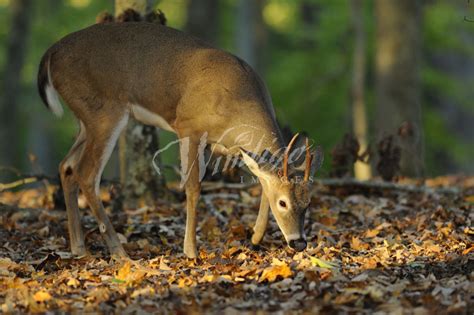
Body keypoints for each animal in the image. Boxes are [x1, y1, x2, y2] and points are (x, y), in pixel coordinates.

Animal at [36, 22, 318, 260]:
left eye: (308, 202)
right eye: (283, 203)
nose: (299, 242)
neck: (237, 102)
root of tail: (50, 53)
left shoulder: (229, 147)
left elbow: (259, 180)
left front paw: (256, 237)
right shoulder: (188, 127)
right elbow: (193, 187)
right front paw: (191, 251)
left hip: (86, 119)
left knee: (66, 166)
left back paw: (79, 247)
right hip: (104, 112)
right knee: (86, 174)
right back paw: (119, 252)